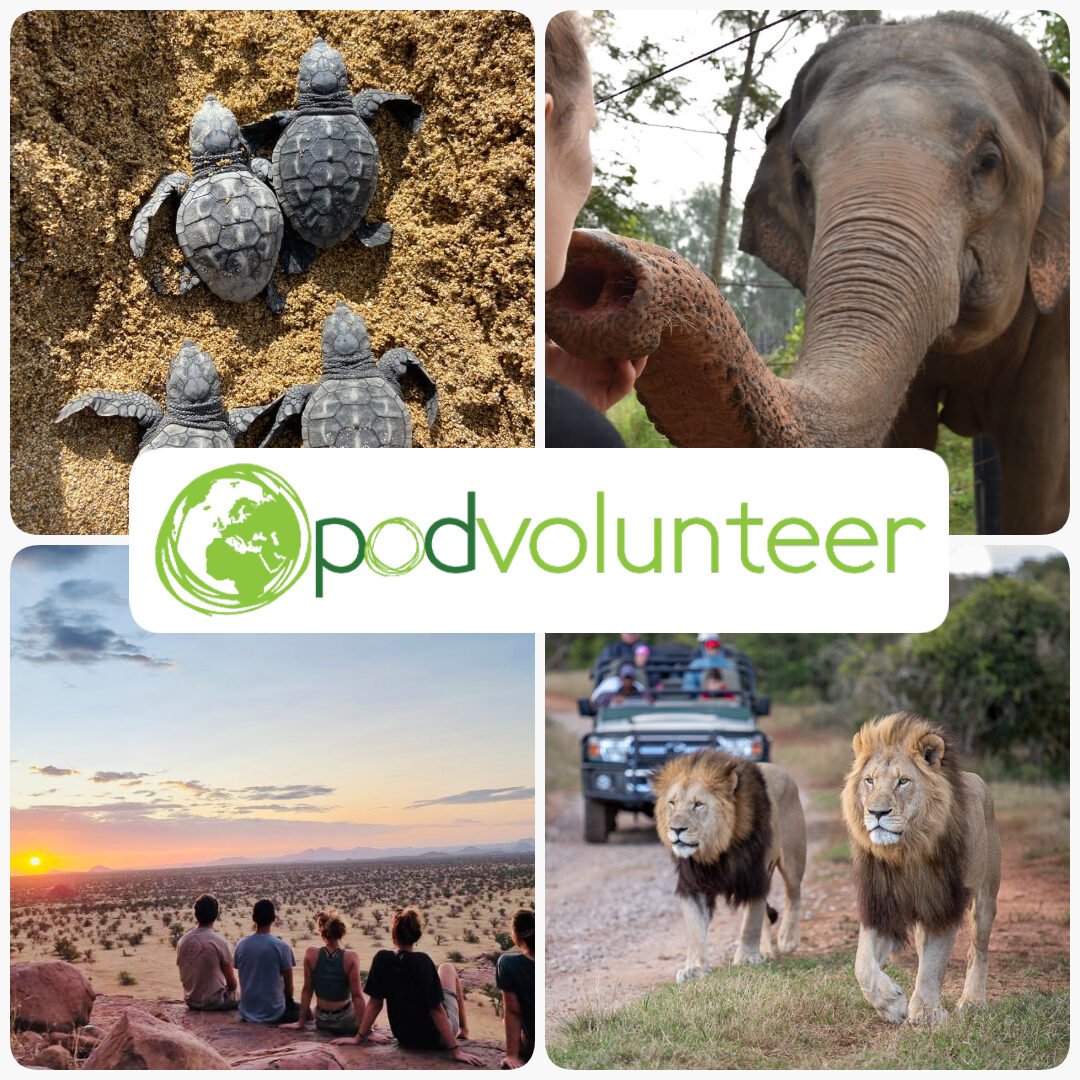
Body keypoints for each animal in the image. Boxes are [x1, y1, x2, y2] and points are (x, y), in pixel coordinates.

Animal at [653, 749, 806, 981]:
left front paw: (746, 959)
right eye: (672, 803)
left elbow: (750, 922)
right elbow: (695, 929)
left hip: (793, 857)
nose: (676, 829)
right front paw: (695, 968)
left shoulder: (756, 877)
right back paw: (765, 952)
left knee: (793, 894)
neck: (717, 851)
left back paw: (787, 939)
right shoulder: (692, 885)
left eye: (698, 804)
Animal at [842, 712, 1001, 1024]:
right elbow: (862, 965)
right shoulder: (881, 906)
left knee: (978, 950)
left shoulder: (941, 904)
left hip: (985, 897)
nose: (876, 812)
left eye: (903, 781)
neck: (904, 853)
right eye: (869, 781)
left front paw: (926, 1013)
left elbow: (933, 963)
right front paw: (892, 1004)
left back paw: (973, 1000)